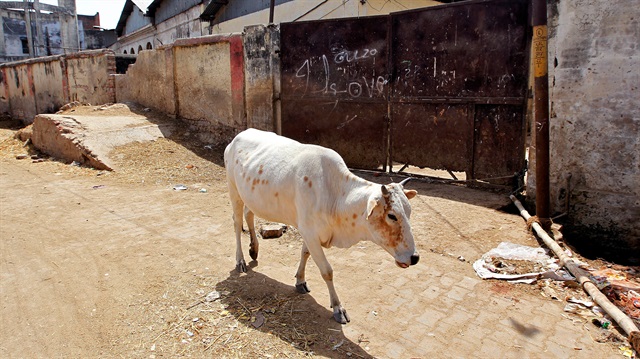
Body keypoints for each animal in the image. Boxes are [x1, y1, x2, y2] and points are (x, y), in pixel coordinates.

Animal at [225, 129, 420, 324]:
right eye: (392, 215)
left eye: (409, 211)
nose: (415, 257)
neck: (334, 194)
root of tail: (239, 136)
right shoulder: (309, 232)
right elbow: (327, 271)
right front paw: (338, 308)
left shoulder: (309, 233)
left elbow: (305, 253)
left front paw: (300, 281)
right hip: (234, 191)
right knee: (237, 223)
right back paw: (240, 260)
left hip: (250, 197)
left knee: (249, 214)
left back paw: (254, 249)